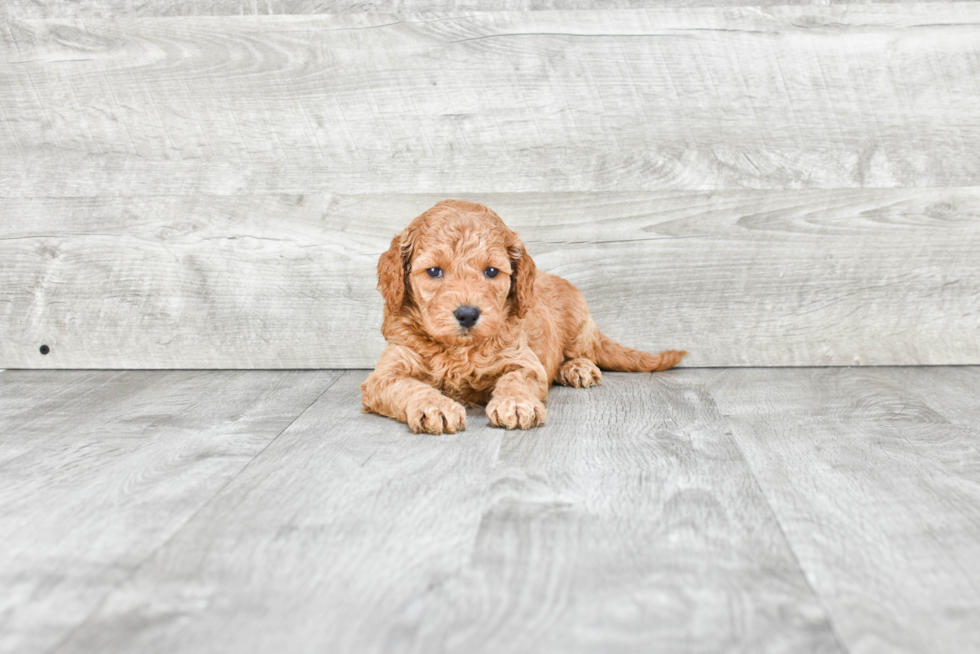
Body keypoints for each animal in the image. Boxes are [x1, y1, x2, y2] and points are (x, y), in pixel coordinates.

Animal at [356, 200, 684, 436]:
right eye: (434, 271)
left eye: (491, 271)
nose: (467, 314)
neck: (459, 350)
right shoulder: (386, 373)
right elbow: (409, 386)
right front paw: (434, 406)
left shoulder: (523, 360)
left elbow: (515, 379)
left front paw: (515, 403)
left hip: (578, 327)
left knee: (582, 353)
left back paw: (576, 368)